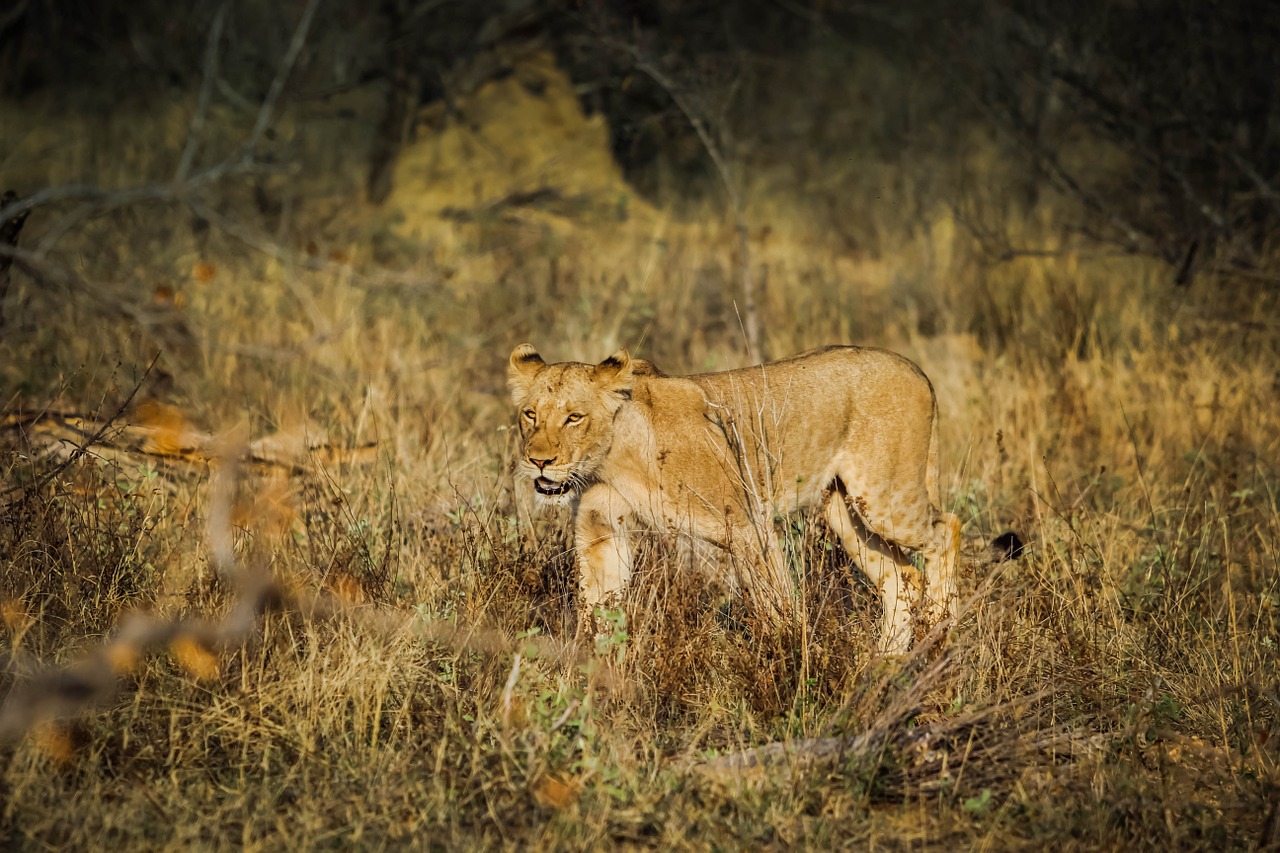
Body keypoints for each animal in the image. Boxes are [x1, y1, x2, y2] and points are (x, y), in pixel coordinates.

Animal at [509, 343, 962, 648]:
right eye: (530, 415)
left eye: (574, 417)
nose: (539, 461)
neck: (614, 457)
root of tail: (915, 369)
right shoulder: (600, 530)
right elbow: (598, 608)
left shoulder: (747, 523)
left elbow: (777, 605)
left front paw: (792, 662)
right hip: (844, 510)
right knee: (903, 578)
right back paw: (886, 661)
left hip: (884, 498)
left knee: (947, 527)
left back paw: (943, 632)